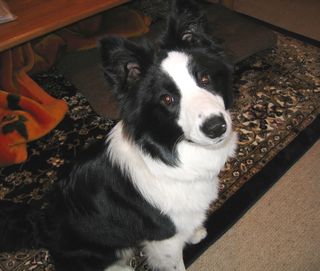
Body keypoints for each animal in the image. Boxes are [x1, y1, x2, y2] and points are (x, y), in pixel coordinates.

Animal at [0, 1, 236, 270]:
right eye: (167, 99)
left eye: (205, 78)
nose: (216, 127)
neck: (168, 153)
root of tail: (40, 222)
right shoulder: (164, 240)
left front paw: (196, 232)